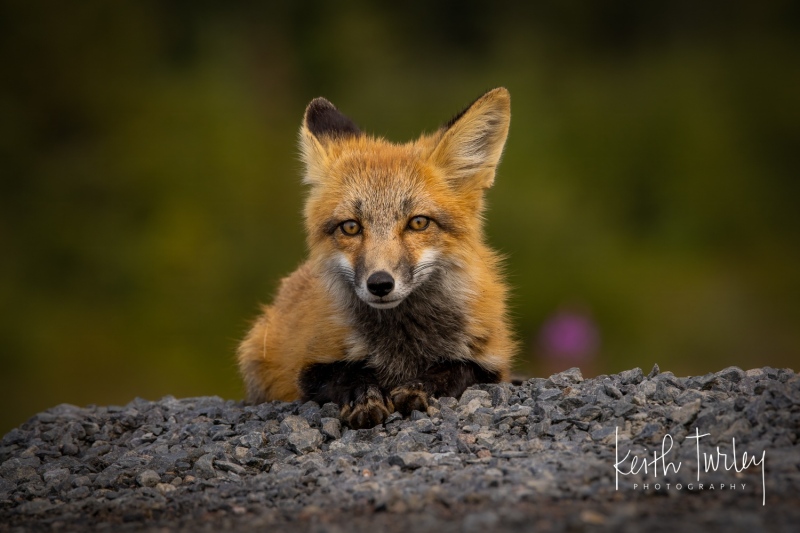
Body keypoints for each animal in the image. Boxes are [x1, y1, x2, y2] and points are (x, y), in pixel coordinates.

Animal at [237, 87, 515, 429]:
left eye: (418, 222)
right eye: (351, 227)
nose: (380, 284)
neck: (402, 346)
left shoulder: (492, 362)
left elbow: (456, 370)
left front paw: (418, 387)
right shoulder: (303, 366)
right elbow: (346, 372)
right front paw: (365, 396)